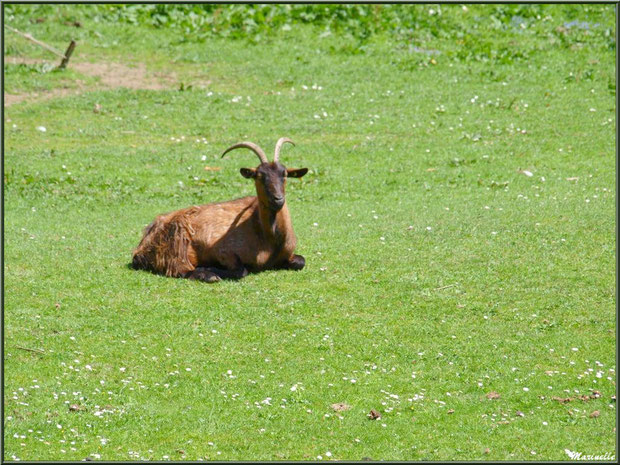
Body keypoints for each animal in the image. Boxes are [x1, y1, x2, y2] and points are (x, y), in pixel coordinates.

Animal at [131, 138, 308, 280]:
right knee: (179, 268)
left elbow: (301, 261)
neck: (269, 239)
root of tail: (140, 247)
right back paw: (208, 276)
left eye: (284, 174)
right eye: (259, 176)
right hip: (177, 241)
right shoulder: (222, 251)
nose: (278, 199)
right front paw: (210, 268)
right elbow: (241, 271)